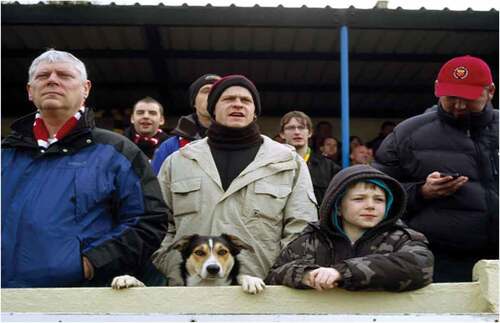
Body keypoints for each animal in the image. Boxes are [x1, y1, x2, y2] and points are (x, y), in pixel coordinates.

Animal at [110, 234, 266, 294]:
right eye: (199, 252)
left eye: (222, 252)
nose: (213, 268)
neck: (206, 285)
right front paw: (127, 279)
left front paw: (250, 280)